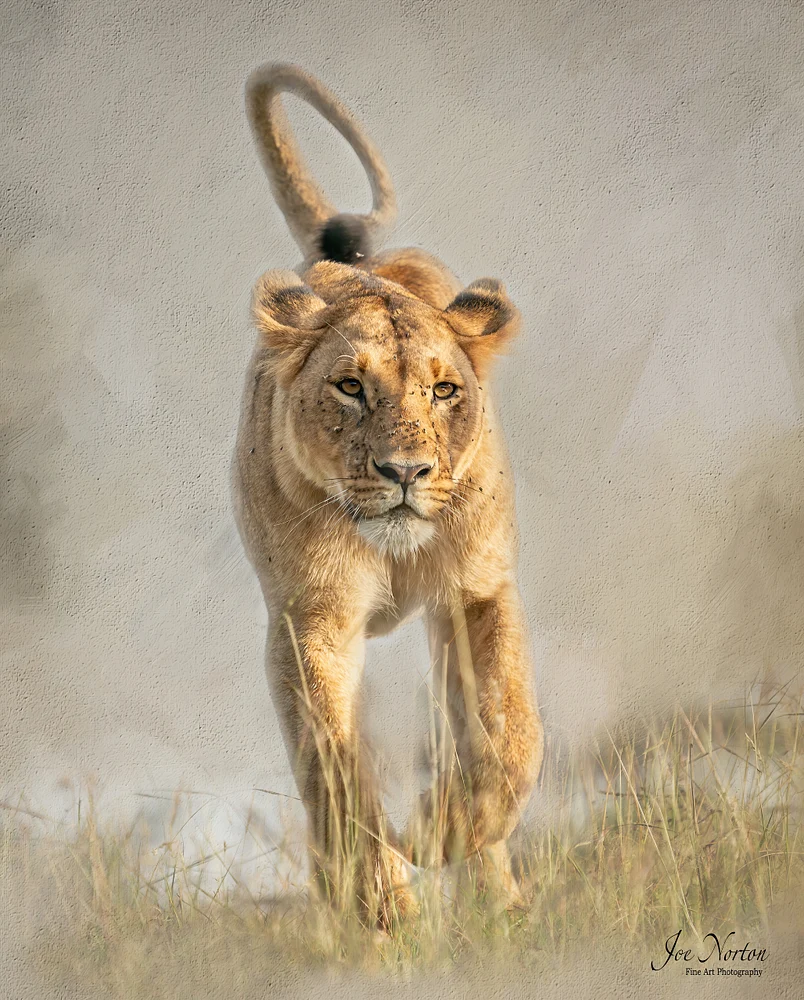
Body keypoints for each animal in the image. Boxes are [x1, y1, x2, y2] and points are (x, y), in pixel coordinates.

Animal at [234, 63, 544, 924]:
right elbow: (333, 761)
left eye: (442, 391)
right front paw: (380, 902)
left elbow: (514, 733)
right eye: (349, 387)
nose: (405, 472)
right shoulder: (311, 618)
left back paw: (495, 896)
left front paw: (442, 836)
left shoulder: (479, 590)